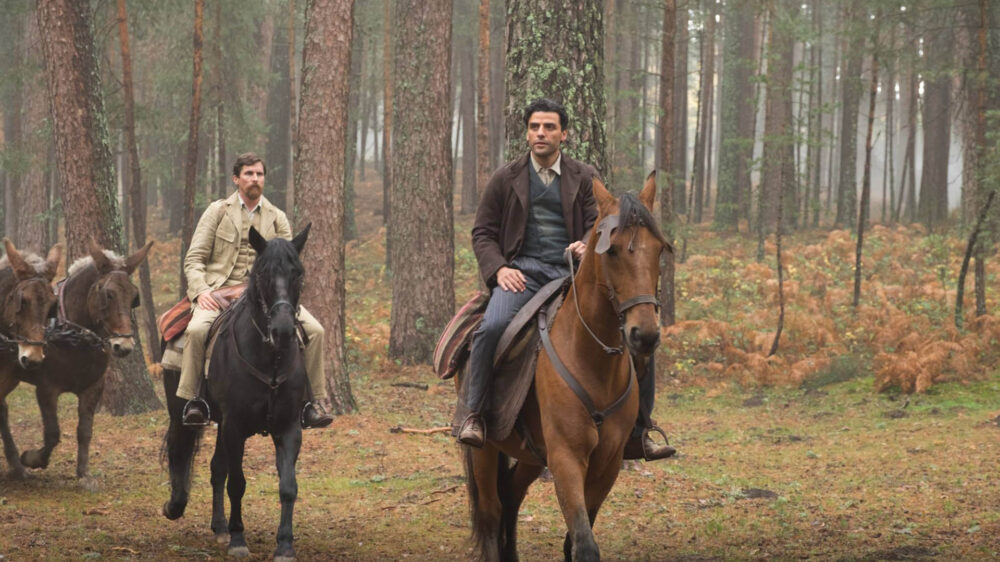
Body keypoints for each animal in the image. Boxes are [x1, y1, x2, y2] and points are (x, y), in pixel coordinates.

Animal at [162, 224, 310, 560]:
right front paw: (239, 540)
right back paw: (176, 506)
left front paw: (285, 545)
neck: (270, 359)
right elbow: (237, 483)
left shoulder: (288, 427)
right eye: (263, 273)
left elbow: (288, 486)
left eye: (298, 273)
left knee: (217, 468)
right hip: (181, 411)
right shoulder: (235, 426)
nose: (283, 331)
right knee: (180, 450)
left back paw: (219, 527)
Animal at [460, 173, 672, 556]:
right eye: (612, 250)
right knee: (491, 513)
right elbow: (584, 543)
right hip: (484, 451)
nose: (645, 335)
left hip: (531, 454)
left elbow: (573, 541)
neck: (594, 361)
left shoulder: (608, 464)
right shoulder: (566, 457)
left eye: (659, 249)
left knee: (511, 495)